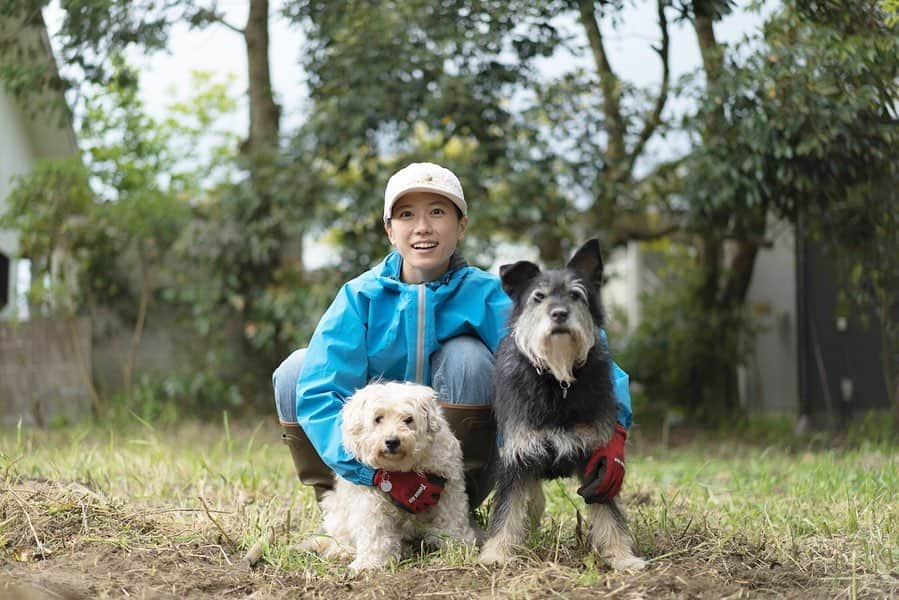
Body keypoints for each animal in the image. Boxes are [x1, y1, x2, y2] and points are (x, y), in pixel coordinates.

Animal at [306, 380, 478, 572]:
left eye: (408, 419)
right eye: (378, 418)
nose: (392, 441)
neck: (400, 472)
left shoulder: (448, 487)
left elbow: (452, 518)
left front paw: (459, 545)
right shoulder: (370, 501)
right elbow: (375, 531)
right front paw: (370, 562)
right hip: (335, 511)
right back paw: (343, 550)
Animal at [478, 238, 648, 568]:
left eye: (576, 294)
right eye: (538, 297)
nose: (558, 314)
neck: (557, 381)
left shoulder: (598, 462)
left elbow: (610, 515)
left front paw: (622, 557)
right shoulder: (518, 457)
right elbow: (506, 509)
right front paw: (496, 553)